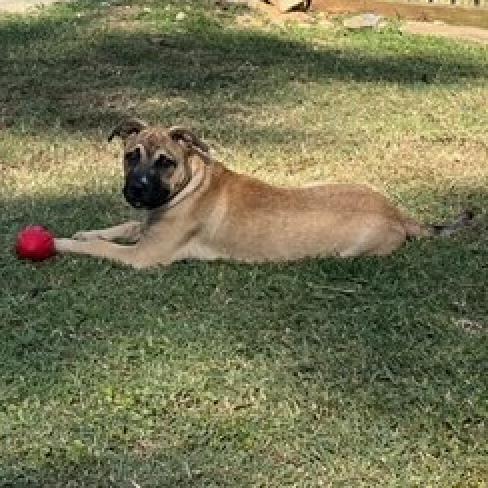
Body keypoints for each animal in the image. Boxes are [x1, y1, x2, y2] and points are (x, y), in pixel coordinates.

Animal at [54, 119, 472, 268]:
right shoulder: (145, 228)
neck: (189, 187)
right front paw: (87, 231)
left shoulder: (144, 256)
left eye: (165, 162)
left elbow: (102, 246)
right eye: (131, 156)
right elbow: (121, 225)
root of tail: (399, 214)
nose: (136, 189)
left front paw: (61, 242)